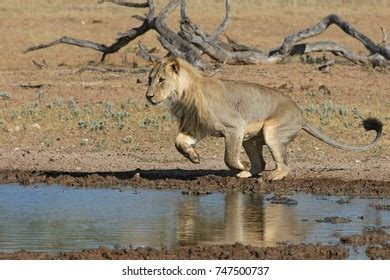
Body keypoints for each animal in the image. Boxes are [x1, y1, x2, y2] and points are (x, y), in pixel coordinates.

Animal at [145, 57, 382, 180]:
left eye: (161, 80)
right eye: (149, 79)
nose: (148, 96)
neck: (185, 94)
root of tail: (302, 115)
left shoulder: (234, 127)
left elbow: (229, 157)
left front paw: (239, 165)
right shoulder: (198, 128)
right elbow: (178, 141)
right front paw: (193, 157)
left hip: (272, 132)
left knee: (284, 166)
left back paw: (269, 176)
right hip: (251, 139)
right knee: (261, 163)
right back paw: (248, 173)